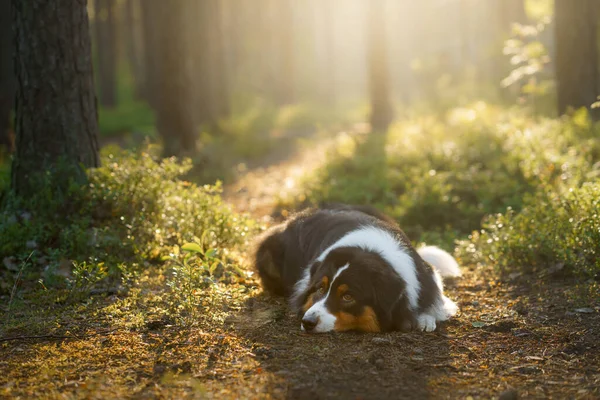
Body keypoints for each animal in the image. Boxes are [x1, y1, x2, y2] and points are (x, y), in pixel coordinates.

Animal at [252, 205, 460, 332]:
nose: (307, 322)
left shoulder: (425, 274)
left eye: (348, 297)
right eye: (320, 288)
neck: (369, 250)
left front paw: (426, 318)